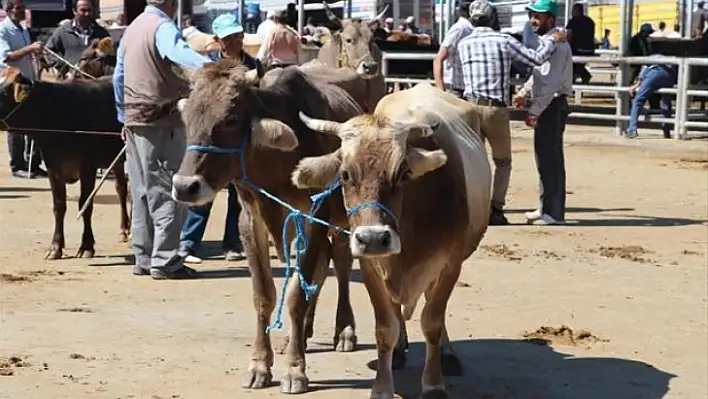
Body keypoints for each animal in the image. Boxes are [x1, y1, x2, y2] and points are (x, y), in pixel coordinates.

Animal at [0, 66, 129, 260]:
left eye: (2, 92)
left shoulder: (87, 167)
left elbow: (85, 205)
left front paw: (86, 246)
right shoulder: (54, 169)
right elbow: (59, 207)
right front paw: (55, 247)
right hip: (117, 160)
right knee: (121, 189)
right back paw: (124, 230)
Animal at [290, 83, 490, 398]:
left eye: (403, 173)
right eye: (345, 174)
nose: (374, 238)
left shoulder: (450, 265)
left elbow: (432, 321)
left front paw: (434, 383)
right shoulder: (371, 268)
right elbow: (385, 327)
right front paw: (382, 386)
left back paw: (446, 354)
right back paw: (397, 353)